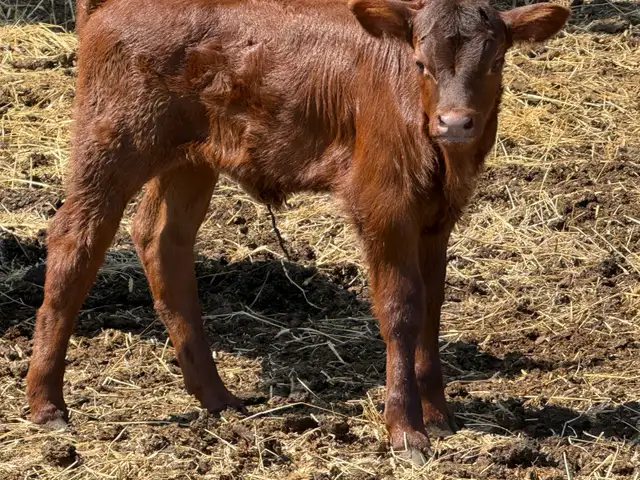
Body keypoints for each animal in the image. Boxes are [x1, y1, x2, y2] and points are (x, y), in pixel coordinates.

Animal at [26, 0, 569, 462]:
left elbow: (432, 309)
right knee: (76, 238)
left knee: (162, 239)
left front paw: (438, 415)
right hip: (113, 140)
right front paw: (405, 429)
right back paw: (47, 403)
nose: (454, 123)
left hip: (191, 158)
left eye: (495, 61)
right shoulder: (384, 205)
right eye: (420, 63)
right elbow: (402, 309)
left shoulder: (438, 218)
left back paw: (217, 398)